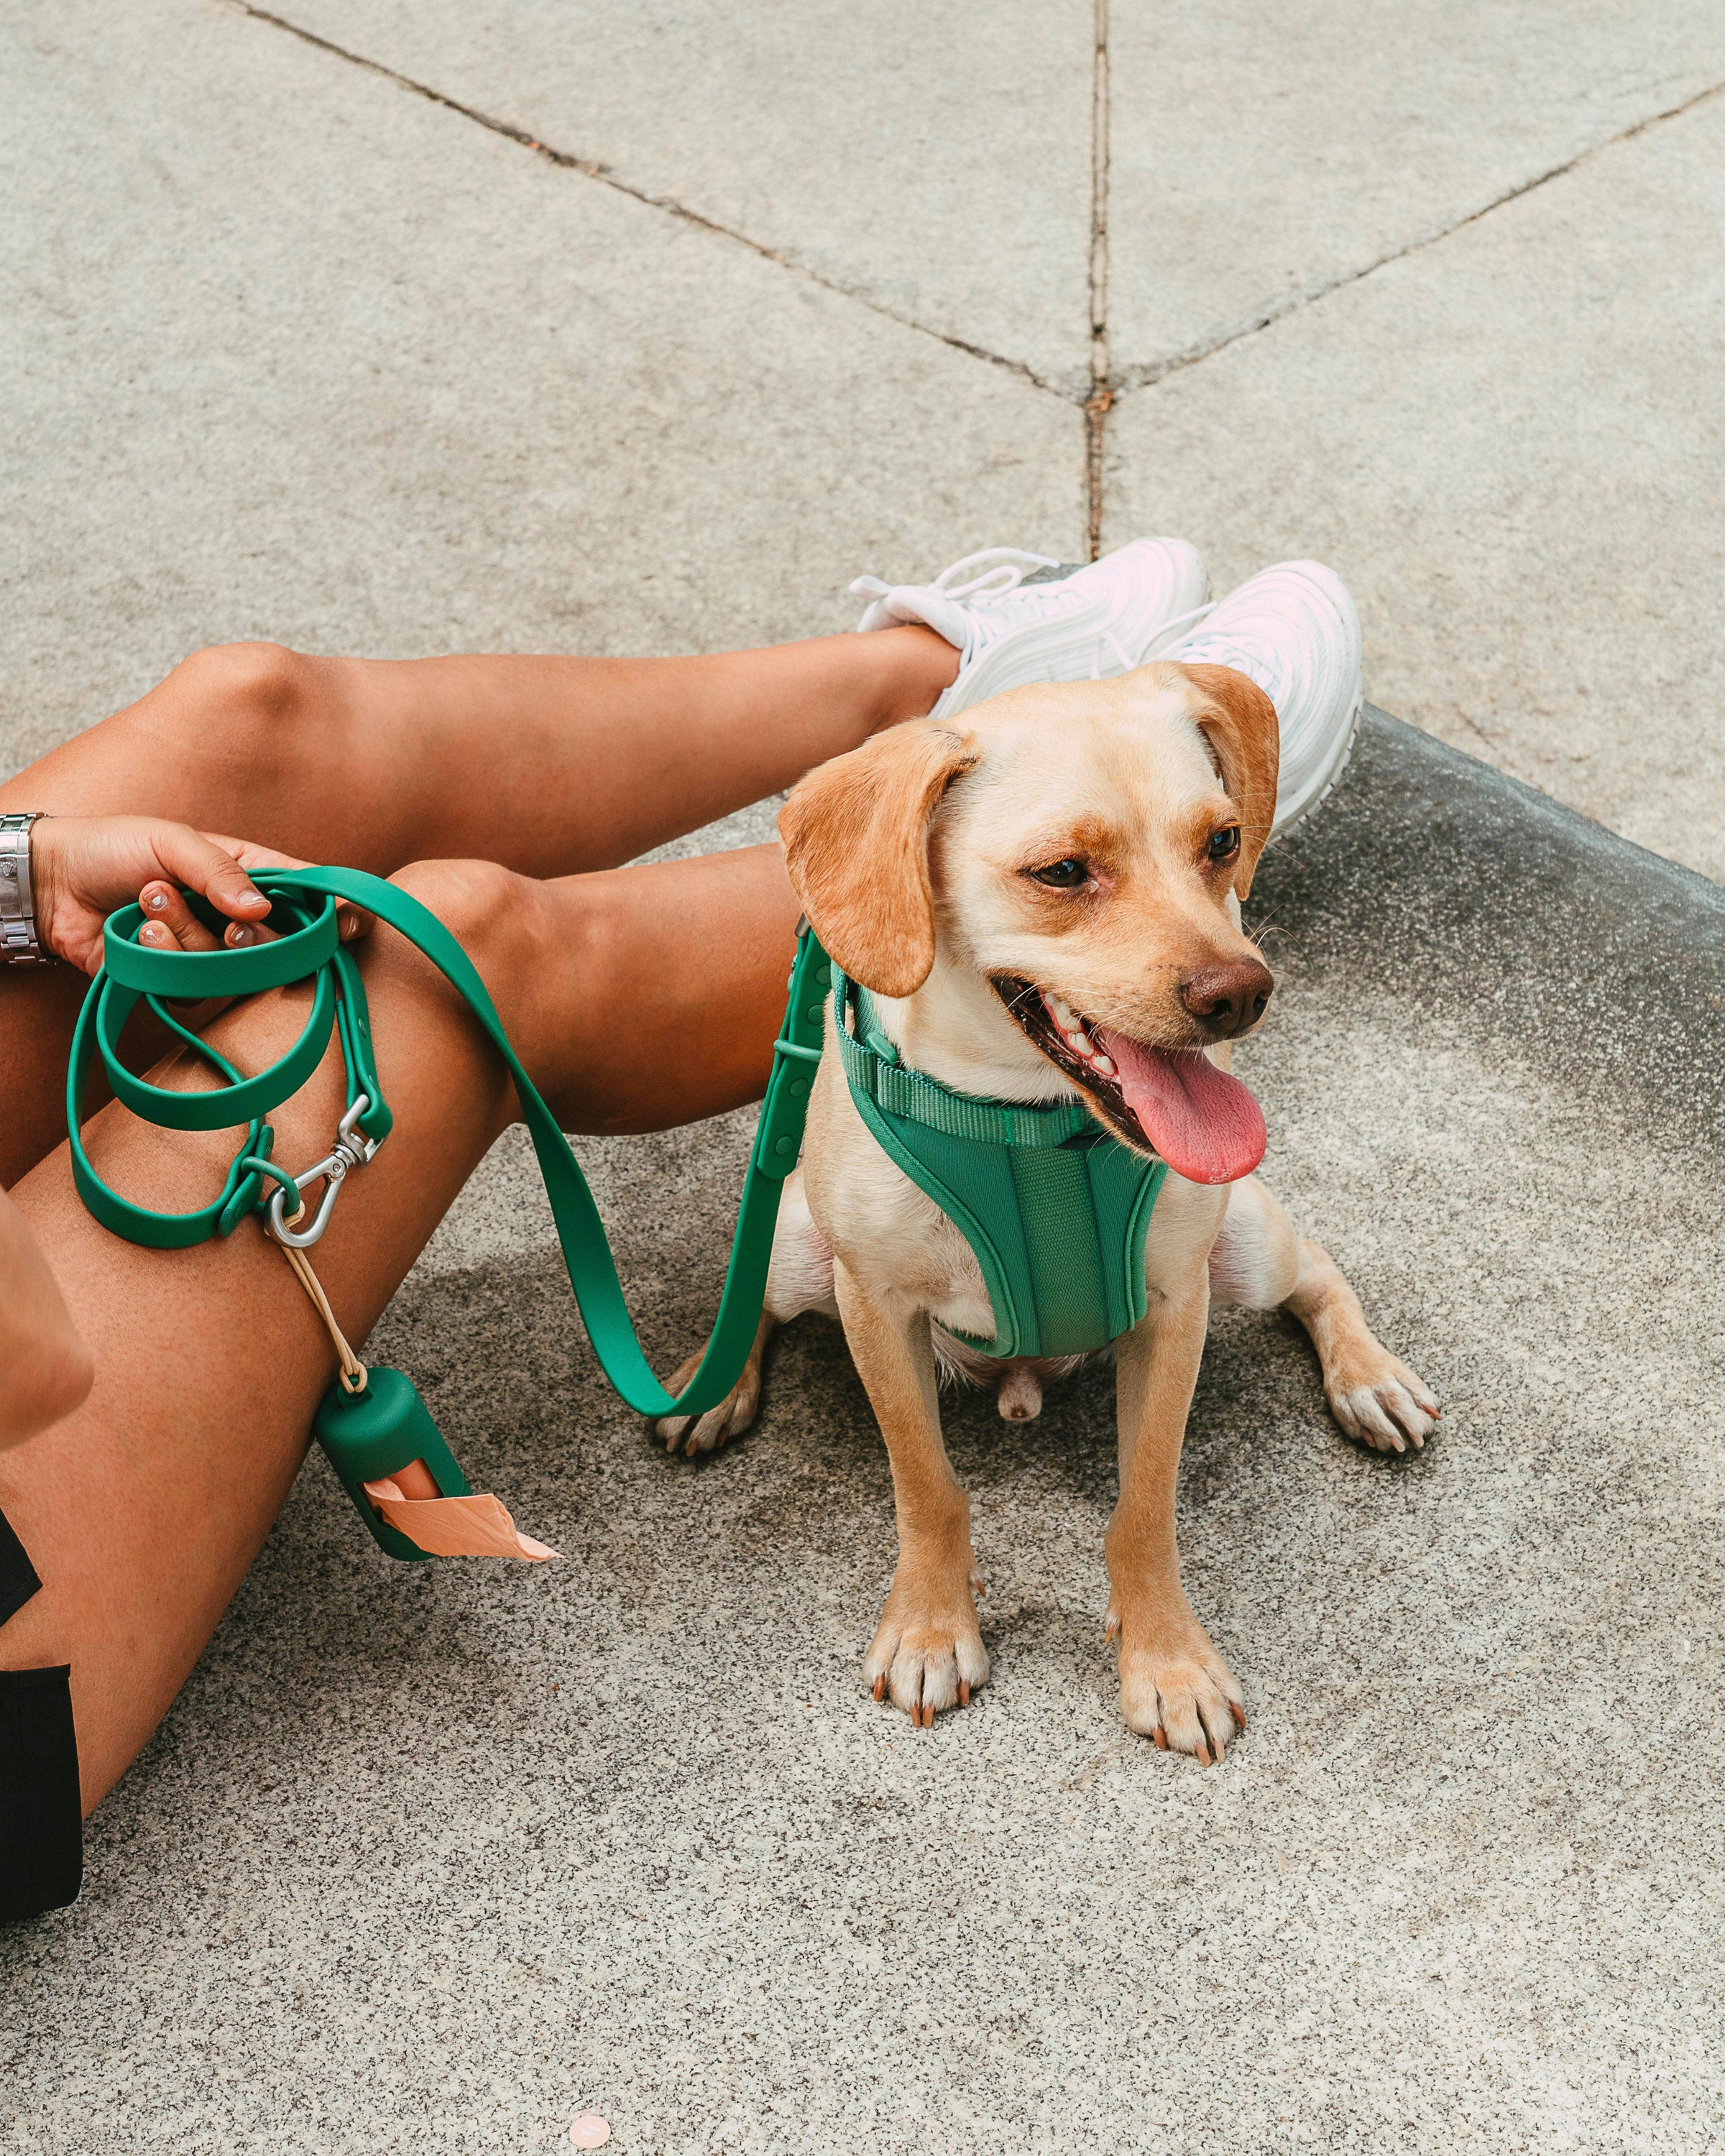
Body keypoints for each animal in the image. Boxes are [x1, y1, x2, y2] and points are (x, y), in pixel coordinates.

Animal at [656, 664, 1432, 1759]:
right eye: (1063, 872)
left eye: (1223, 841)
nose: (1242, 994)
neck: (1032, 1133)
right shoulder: (876, 1308)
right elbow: (928, 1488)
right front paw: (932, 1628)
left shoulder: (1175, 1308)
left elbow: (1144, 1508)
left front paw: (1167, 1660)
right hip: (797, 1245)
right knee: (754, 1304)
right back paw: (707, 1382)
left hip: (1246, 1243)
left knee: (1317, 1266)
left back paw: (1371, 1378)